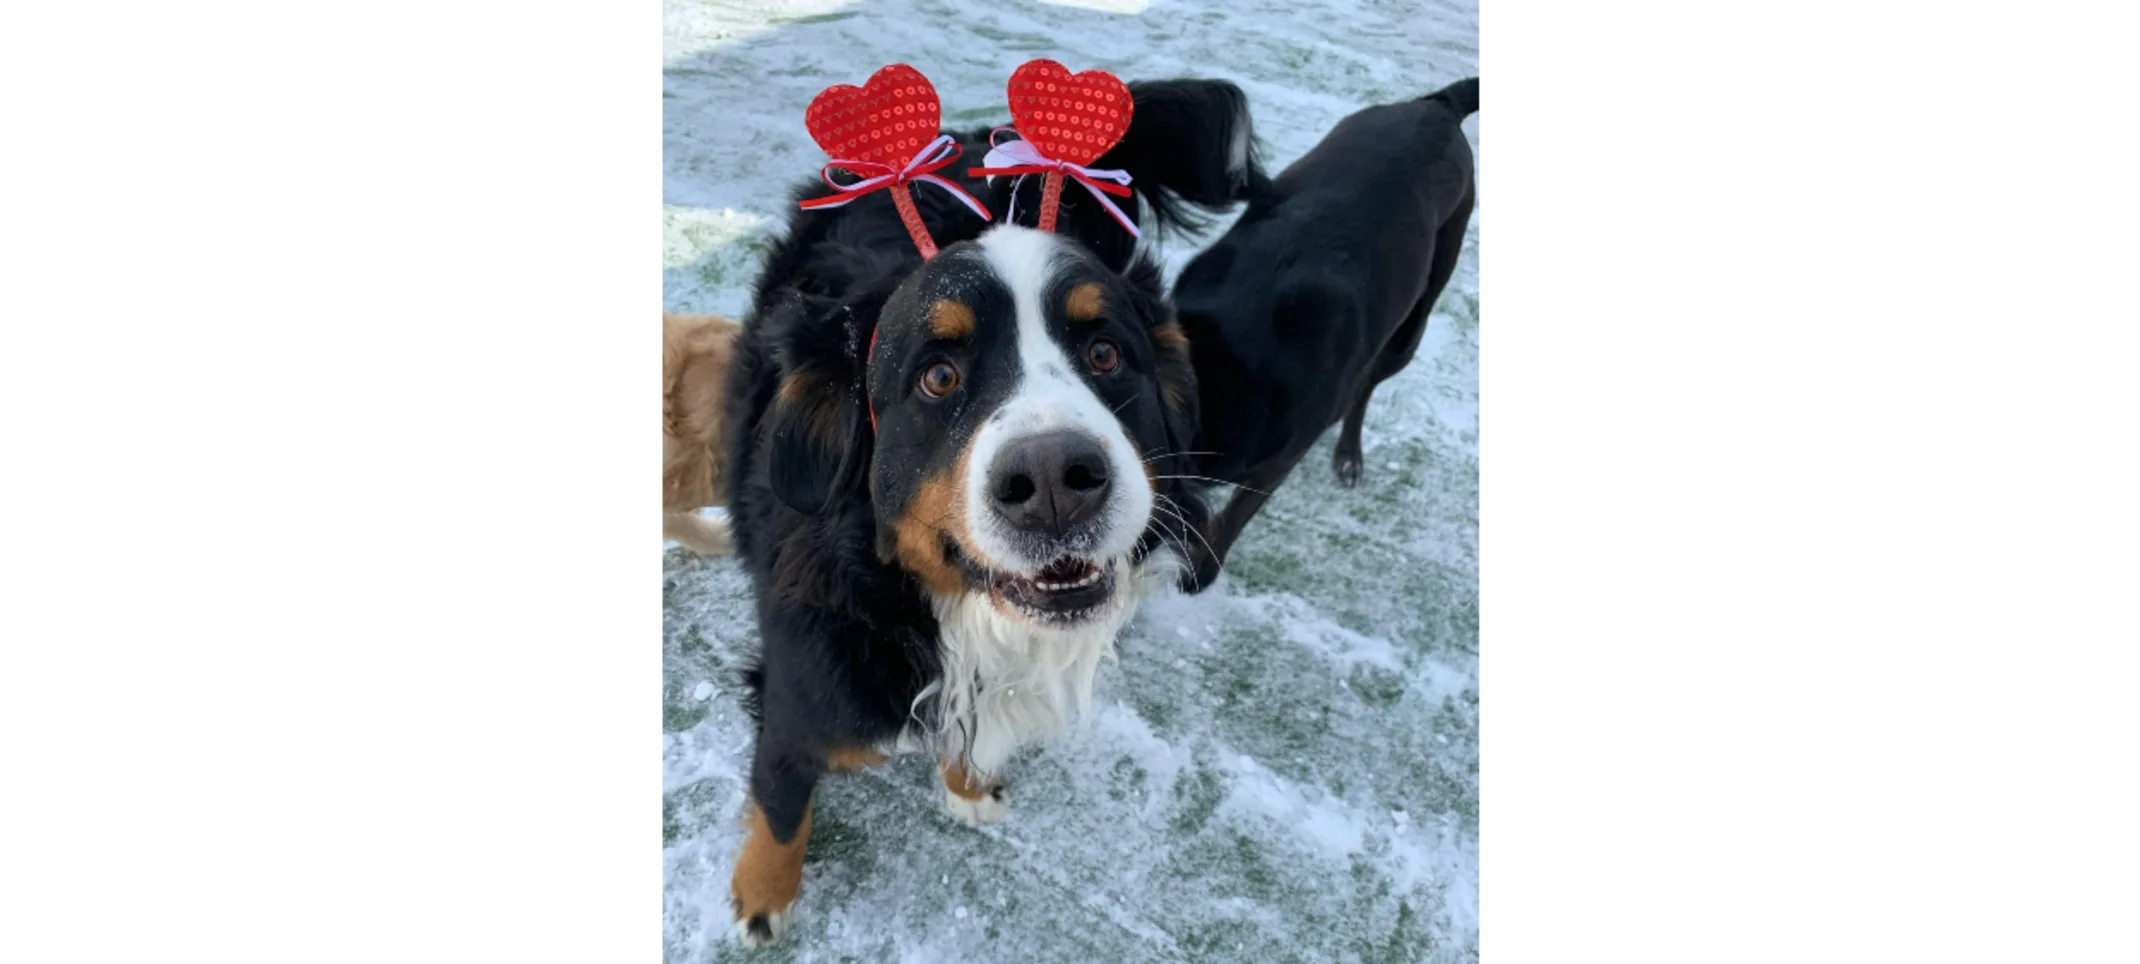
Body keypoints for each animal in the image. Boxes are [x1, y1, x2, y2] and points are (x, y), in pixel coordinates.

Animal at [719, 77, 1258, 946]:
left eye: (1105, 353)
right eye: (938, 376)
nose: (1054, 479)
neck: (932, 610)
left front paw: (967, 785)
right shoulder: (798, 682)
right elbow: (780, 799)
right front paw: (761, 897)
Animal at [1164, 77, 1480, 586]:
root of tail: (1440, 107)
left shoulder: (1278, 457)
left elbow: (1232, 518)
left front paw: (1201, 572)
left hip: (1409, 331)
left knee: (1364, 388)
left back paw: (1349, 454)